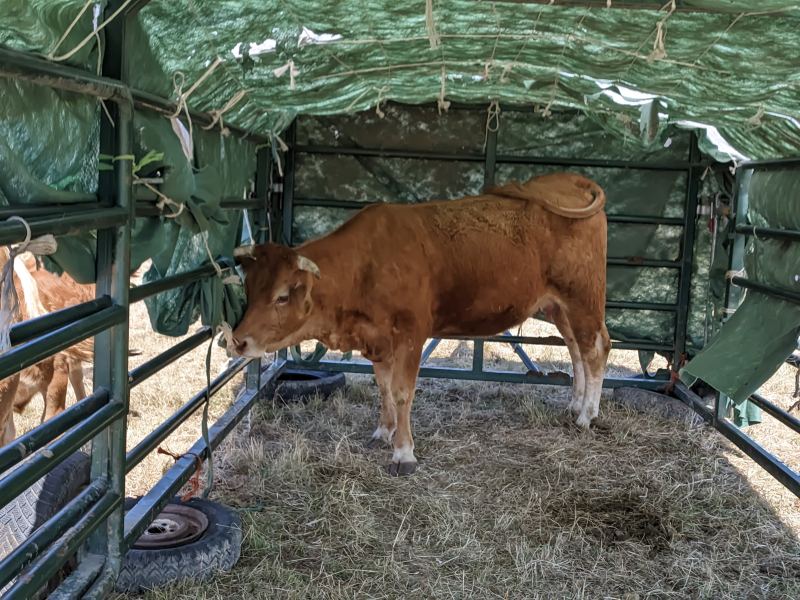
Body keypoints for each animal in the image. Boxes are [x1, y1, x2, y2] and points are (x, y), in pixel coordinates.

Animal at [228, 173, 611, 476]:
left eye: (282, 296)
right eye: (249, 288)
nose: (238, 341)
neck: (367, 264)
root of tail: (569, 178)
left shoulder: (411, 335)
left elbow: (401, 392)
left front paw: (403, 452)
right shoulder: (377, 338)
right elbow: (383, 388)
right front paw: (383, 432)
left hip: (583, 297)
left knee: (596, 348)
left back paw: (587, 415)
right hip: (558, 305)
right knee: (577, 348)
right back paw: (575, 405)